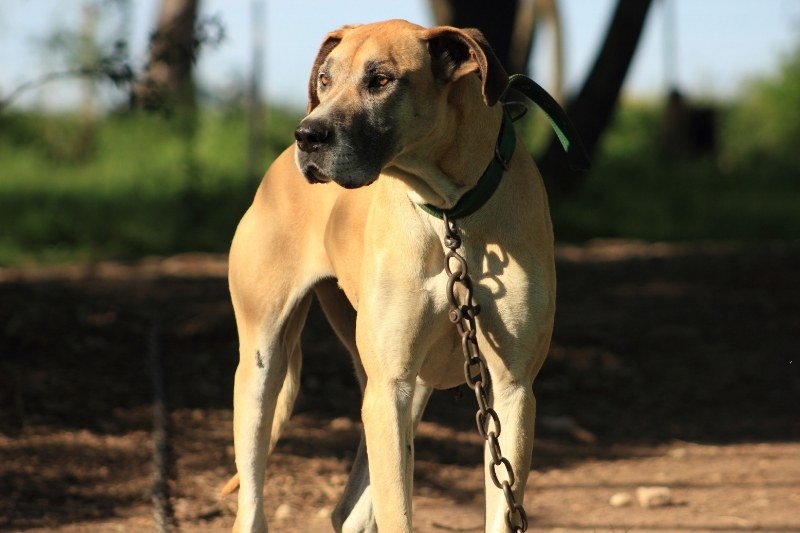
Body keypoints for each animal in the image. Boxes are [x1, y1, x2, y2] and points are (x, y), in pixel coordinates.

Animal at [222, 18, 552, 528]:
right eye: (325, 80)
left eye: (380, 80)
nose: (307, 136)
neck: (450, 215)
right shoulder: (389, 389)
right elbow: (398, 512)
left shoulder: (512, 390)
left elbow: (502, 506)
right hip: (266, 366)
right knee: (255, 499)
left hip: (401, 390)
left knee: (351, 512)